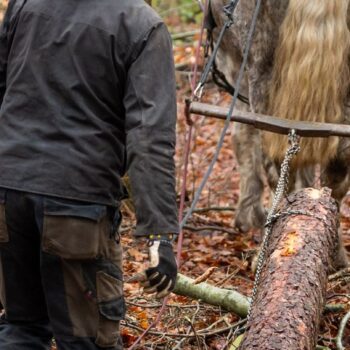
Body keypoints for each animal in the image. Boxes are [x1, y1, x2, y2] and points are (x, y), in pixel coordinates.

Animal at [208, 0, 350, 268]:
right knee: (338, 171)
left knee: (278, 165)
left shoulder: (235, 67)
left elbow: (242, 135)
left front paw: (248, 213)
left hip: (261, 70)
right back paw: (334, 252)